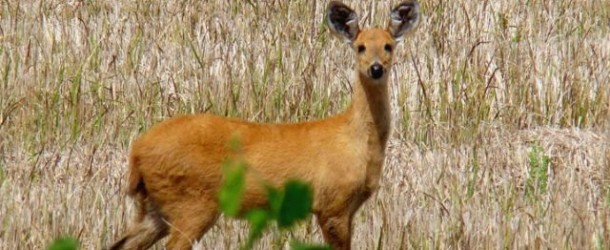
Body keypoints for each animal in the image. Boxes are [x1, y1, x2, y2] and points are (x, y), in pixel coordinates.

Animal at [108, 0, 418, 249]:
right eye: (360, 47)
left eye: (388, 46)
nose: (376, 68)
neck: (356, 140)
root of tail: (137, 151)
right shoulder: (332, 204)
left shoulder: (346, 209)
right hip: (192, 201)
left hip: (157, 207)